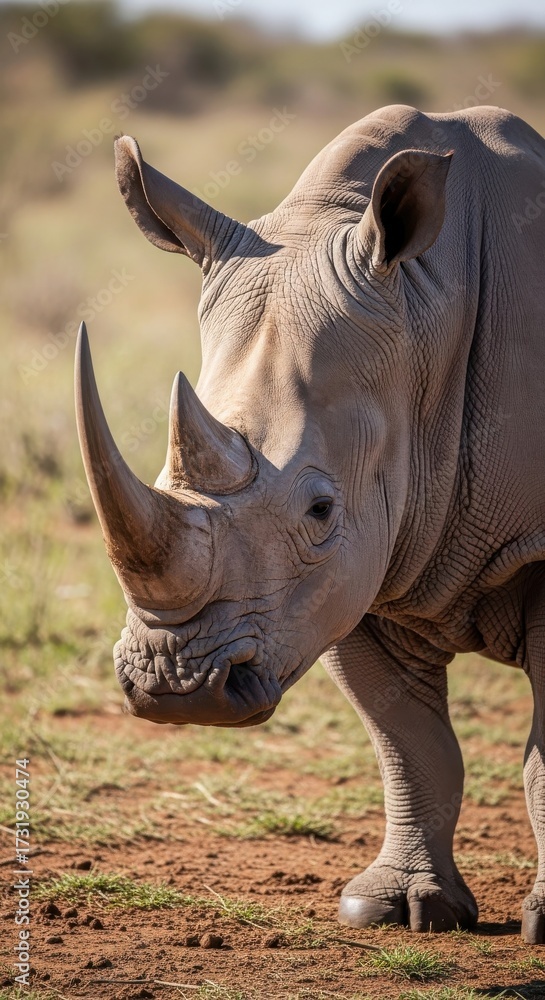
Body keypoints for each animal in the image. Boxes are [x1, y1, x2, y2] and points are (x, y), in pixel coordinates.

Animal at [75, 104, 545, 942]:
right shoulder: (356, 570)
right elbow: (408, 740)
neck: (424, 311)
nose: (176, 689)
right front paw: (394, 909)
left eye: (319, 510)